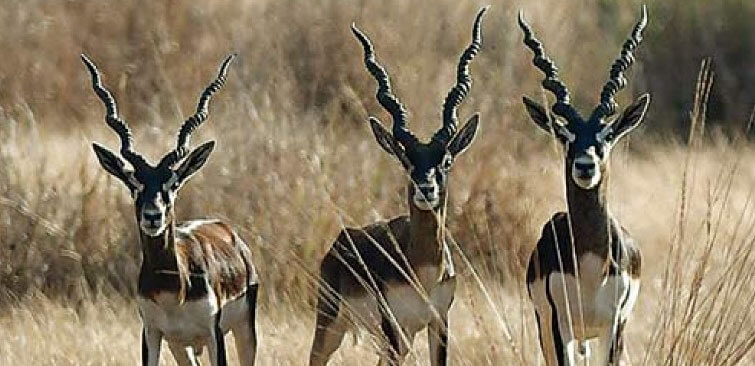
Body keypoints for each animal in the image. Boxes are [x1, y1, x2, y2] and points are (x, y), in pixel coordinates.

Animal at [82, 54, 258, 366]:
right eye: (134, 184)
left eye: (173, 184)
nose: (153, 216)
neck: (172, 290)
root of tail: (228, 232)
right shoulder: (152, 333)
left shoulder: (214, 335)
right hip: (181, 347)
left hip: (242, 332)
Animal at [310, 6, 488, 366]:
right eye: (406, 161)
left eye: (446, 161)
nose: (425, 189)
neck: (423, 269)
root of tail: (339, 241)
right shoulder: (390, 325)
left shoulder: (438, 323)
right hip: (333, 324)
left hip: (400, 338)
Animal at [520, 5, 648, 366]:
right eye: (565, 136)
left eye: (607, 135)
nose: (585, 165)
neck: (590, 266)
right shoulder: (557, 323)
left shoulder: (615, 325)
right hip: (550, 330)